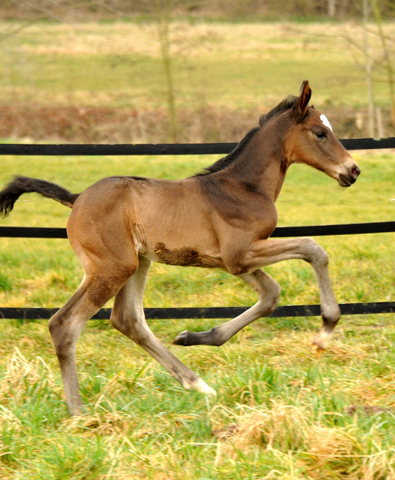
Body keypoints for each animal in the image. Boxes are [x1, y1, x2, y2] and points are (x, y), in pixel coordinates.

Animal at [0, 80, 362, 414]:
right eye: (320, 133)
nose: (353, 170)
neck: (244, 187)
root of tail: (76, 199)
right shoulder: (240, 253)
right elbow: (313, 248)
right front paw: (325, 329)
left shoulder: (231, 260)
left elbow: (270, 294)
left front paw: (196, 337)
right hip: (111, 268)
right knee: (64, 324)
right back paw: (78, 413)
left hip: (136, 263)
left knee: (127, 320)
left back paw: (197, 384)